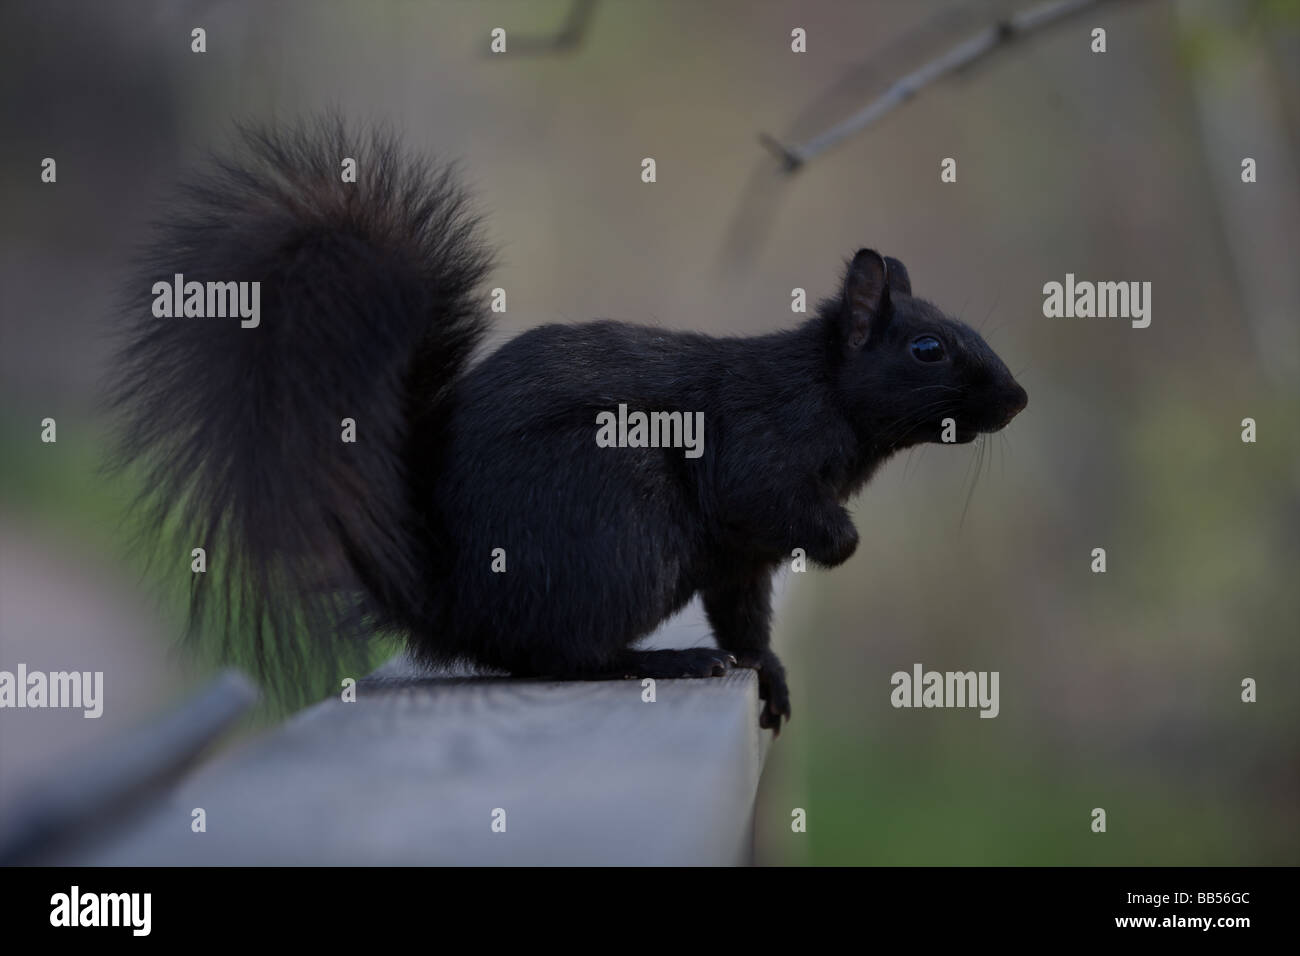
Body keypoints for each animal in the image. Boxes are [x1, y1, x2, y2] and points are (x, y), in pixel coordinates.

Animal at [109, 119, 1024, 733]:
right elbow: (762, 497)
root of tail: (451, 601)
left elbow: (747, 617)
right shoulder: (762, 454)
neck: (828, 390)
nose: (1015, 400)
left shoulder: (742, 560)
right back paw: (664, 659)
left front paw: (769, 675)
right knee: (565, 658)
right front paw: (841, 542)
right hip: (621, 528)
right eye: (929, 348)